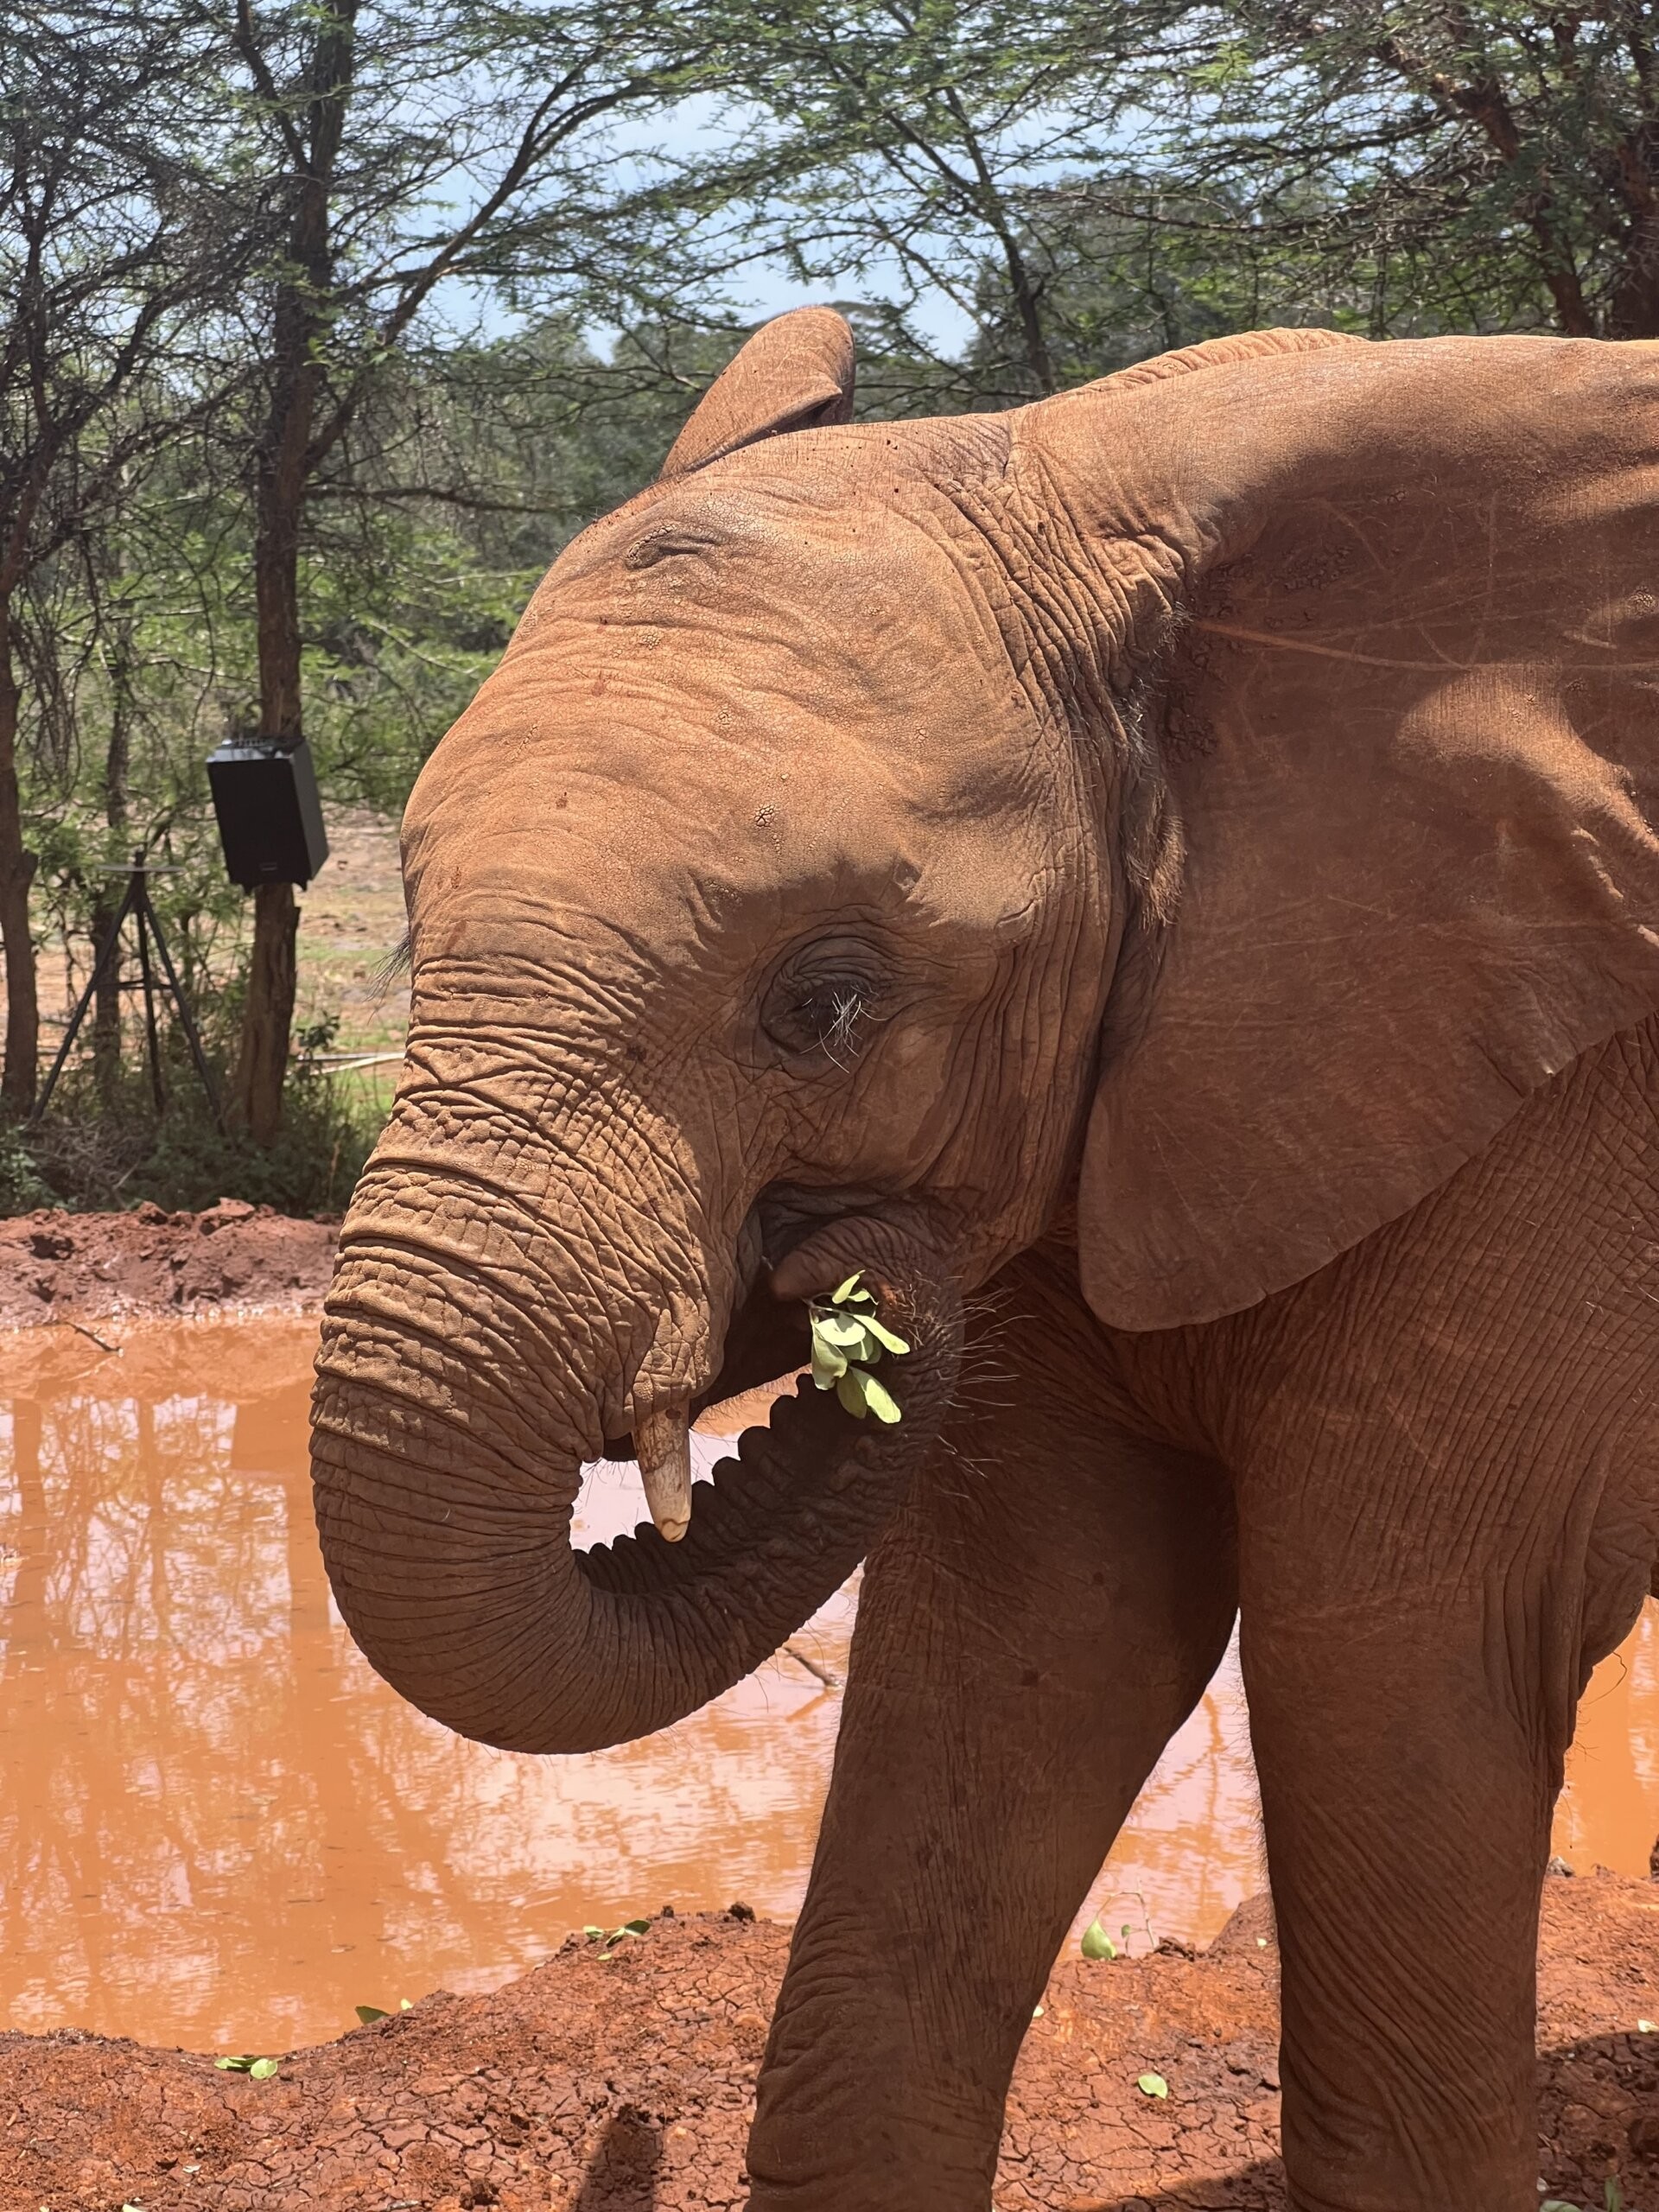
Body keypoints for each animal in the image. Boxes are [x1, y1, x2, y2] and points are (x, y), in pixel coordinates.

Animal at [310, 306, 1659, 2212]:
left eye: (827, 999)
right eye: (417, 922)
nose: (838, 1279)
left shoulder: (1543, 1130)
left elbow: (1394, 1654)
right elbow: (1039, 1624)